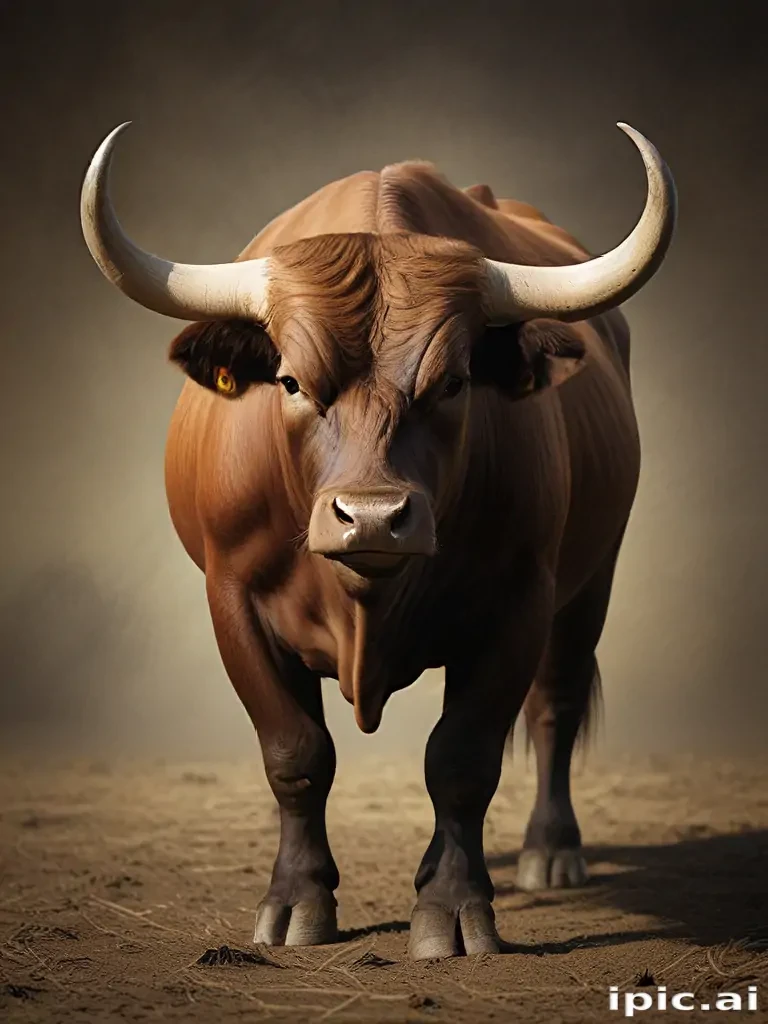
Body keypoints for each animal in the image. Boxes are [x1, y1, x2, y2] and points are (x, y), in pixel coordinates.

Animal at [80, 122, 676, 960]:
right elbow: (296, 752)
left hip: (593, 578)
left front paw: (452, 910)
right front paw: (296, 903)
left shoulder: (521, 600)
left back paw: (550, 853)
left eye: (454, 382)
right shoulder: (231, 598)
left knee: (555, 705)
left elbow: (462, 759)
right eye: (291, 382)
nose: (369, 516)